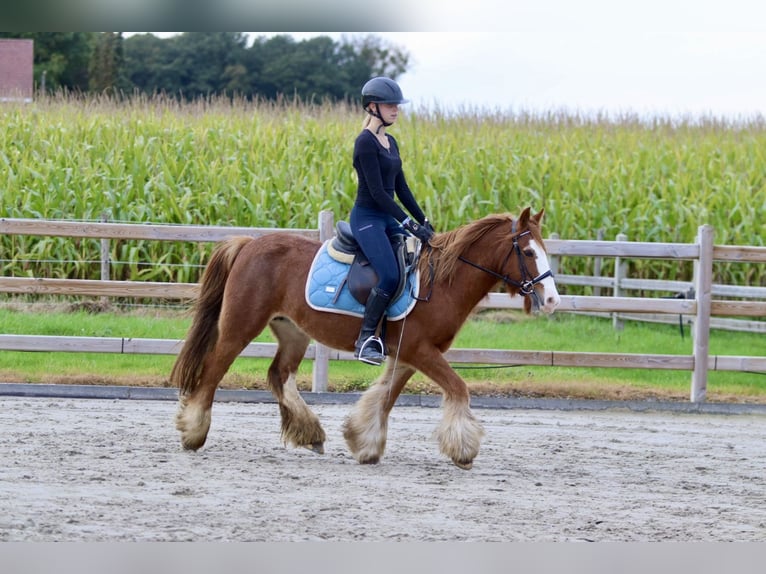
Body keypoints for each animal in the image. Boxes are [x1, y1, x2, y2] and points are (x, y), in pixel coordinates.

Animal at [172, 209, 560, 470]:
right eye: (528, 252)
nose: (553, 300)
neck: (440, 283)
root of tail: (250, 244)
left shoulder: (408, 354)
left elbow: (384, 397)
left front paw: (364, 443)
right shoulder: (421, 351)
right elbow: (458, 388)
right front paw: (463, 450)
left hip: (292, 330)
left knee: (280, 375)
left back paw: (311, 434)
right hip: (240, 326)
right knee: (214, 369)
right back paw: (193, 432)